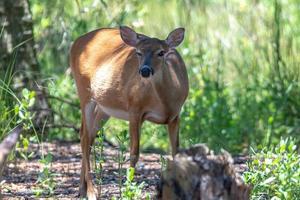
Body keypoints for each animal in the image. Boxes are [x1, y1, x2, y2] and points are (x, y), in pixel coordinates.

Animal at [69, 26, 189, 198]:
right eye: (138, 52)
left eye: (161, 52)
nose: (144, 71)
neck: (165, 102)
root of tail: (77, 41)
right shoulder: (134, 109)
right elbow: (134, 152)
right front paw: (128, 188)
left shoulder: (175, 116)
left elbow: (175, 152)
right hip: (84, 92)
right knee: (85, 137)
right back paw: (91, 192)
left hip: (104, 107)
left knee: (88, 135)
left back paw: (81, 189)